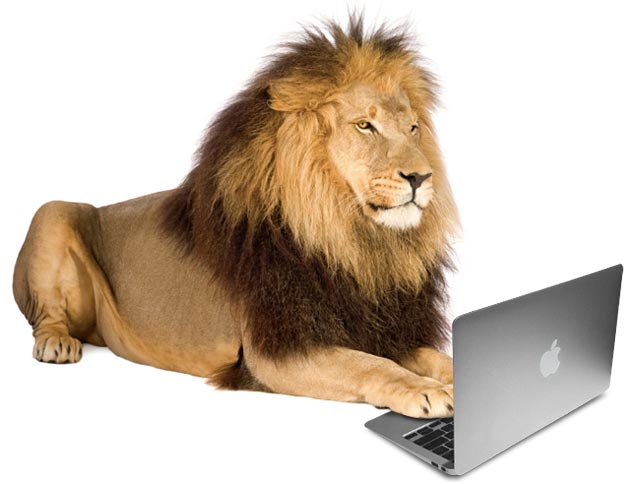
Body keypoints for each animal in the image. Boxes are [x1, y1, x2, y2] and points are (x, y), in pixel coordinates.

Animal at [13, 15, 459, 418]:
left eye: (413, 128)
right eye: (365, 125)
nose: (421, 177)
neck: (351, 241)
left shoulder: (383, 329)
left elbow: (434, 356)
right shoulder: (274, 351)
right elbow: (370, 365)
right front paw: (424, 390)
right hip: (52, 212)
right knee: (45, 316)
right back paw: (56, 343)